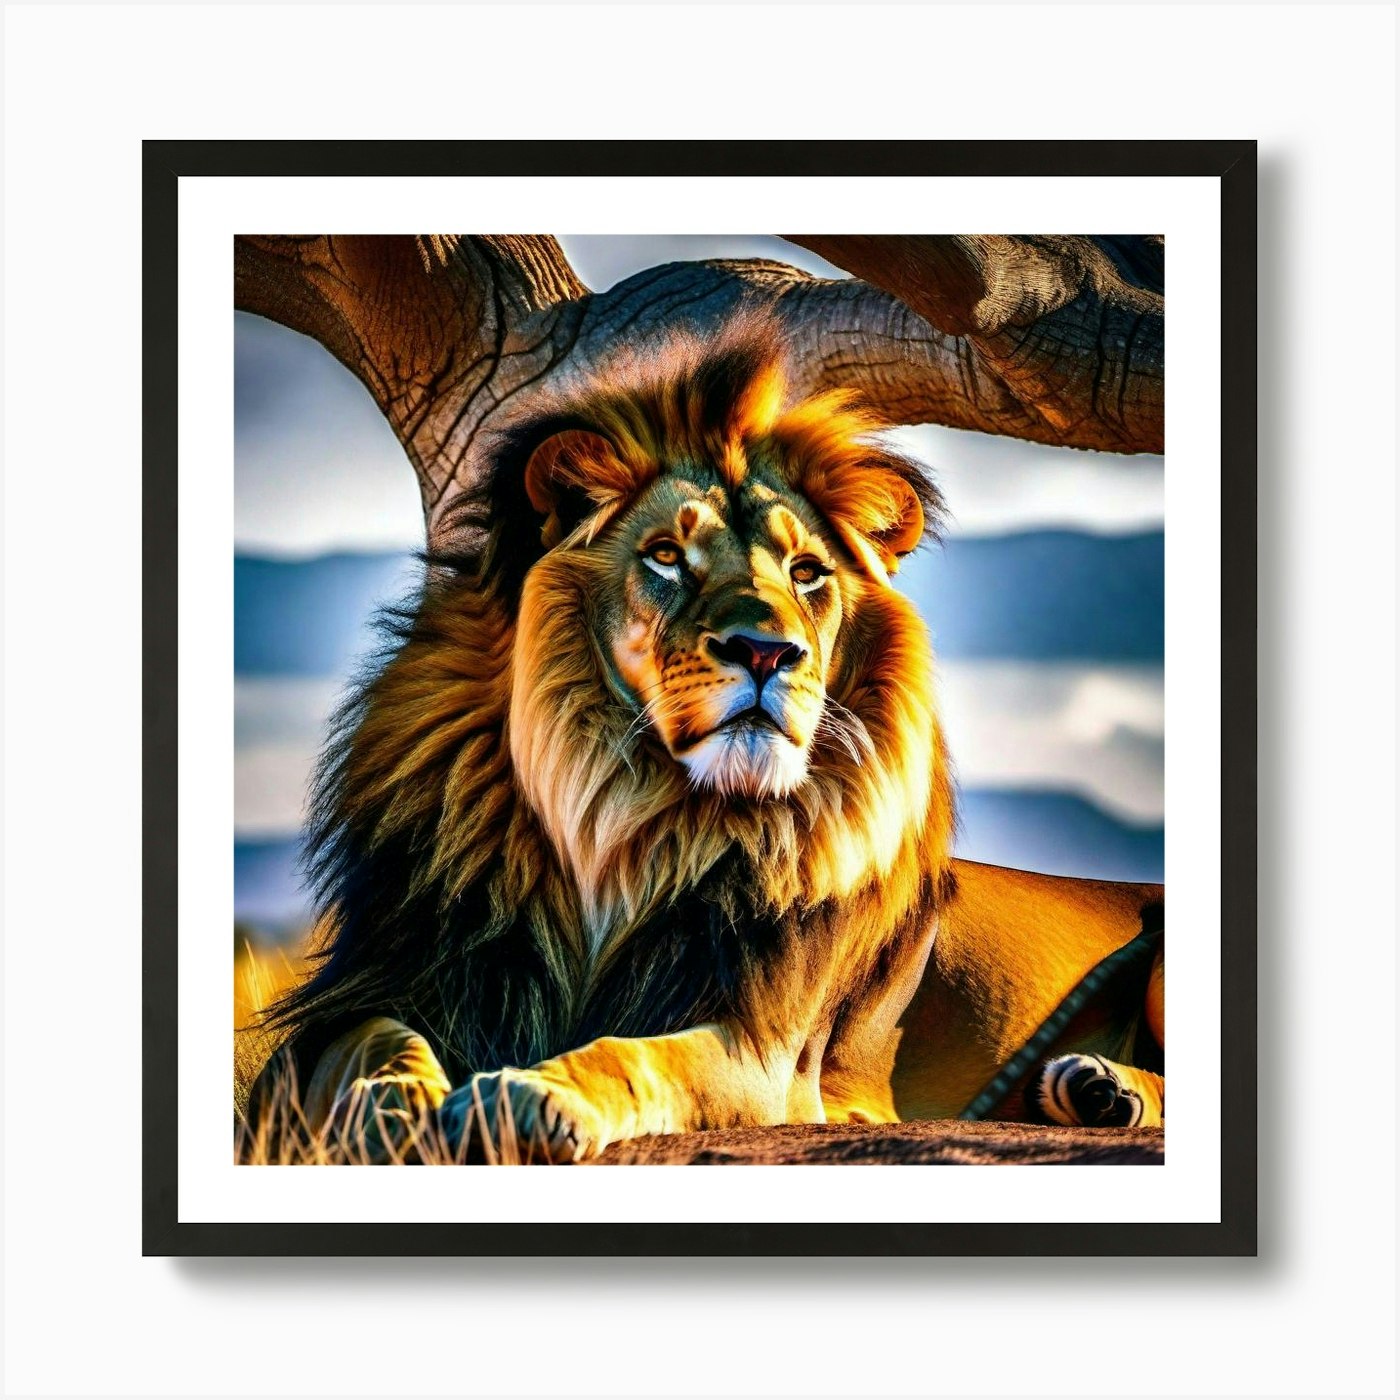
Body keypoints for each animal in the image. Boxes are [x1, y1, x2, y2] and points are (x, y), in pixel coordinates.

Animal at [246, 321, 1164, 1162]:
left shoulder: (769, 1058)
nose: (766, 651)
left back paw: (1103, 1086)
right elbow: (376, 1044)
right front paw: (391, 1109)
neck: (626, 817)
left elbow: (642, 1056)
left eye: (806, 573)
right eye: (665, 556)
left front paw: (532, 1094)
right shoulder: (387, 984)